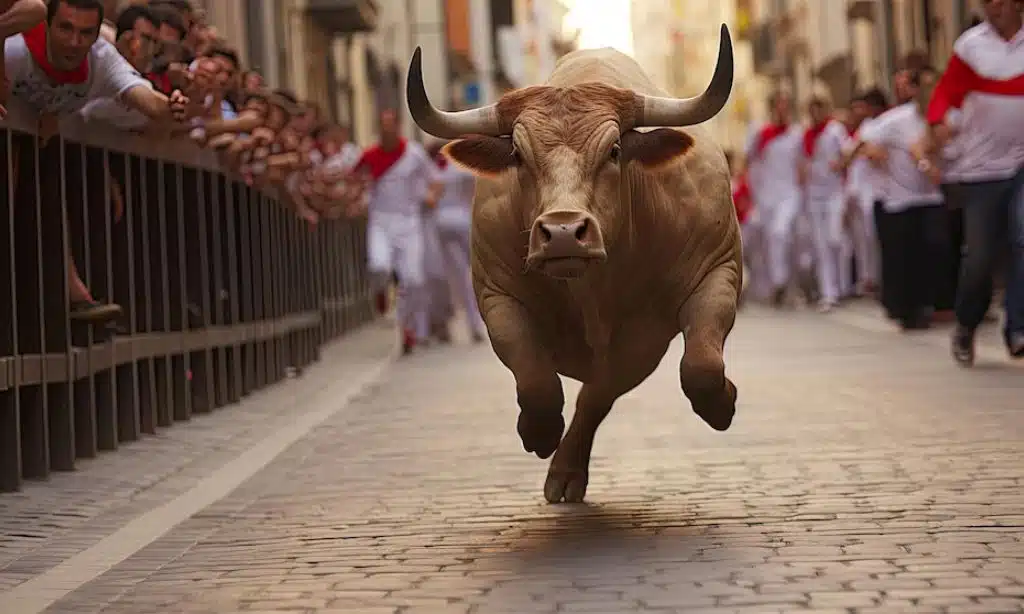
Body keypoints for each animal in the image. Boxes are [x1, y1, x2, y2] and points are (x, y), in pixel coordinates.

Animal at [405, 25, 741, 504]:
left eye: (615, 150)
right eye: (518, 156)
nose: (563, 231)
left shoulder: (714, 274)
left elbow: (701, 367)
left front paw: (723, 403)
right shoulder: (497, 295)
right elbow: (537, 382)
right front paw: (539, 432)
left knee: (599, 394)